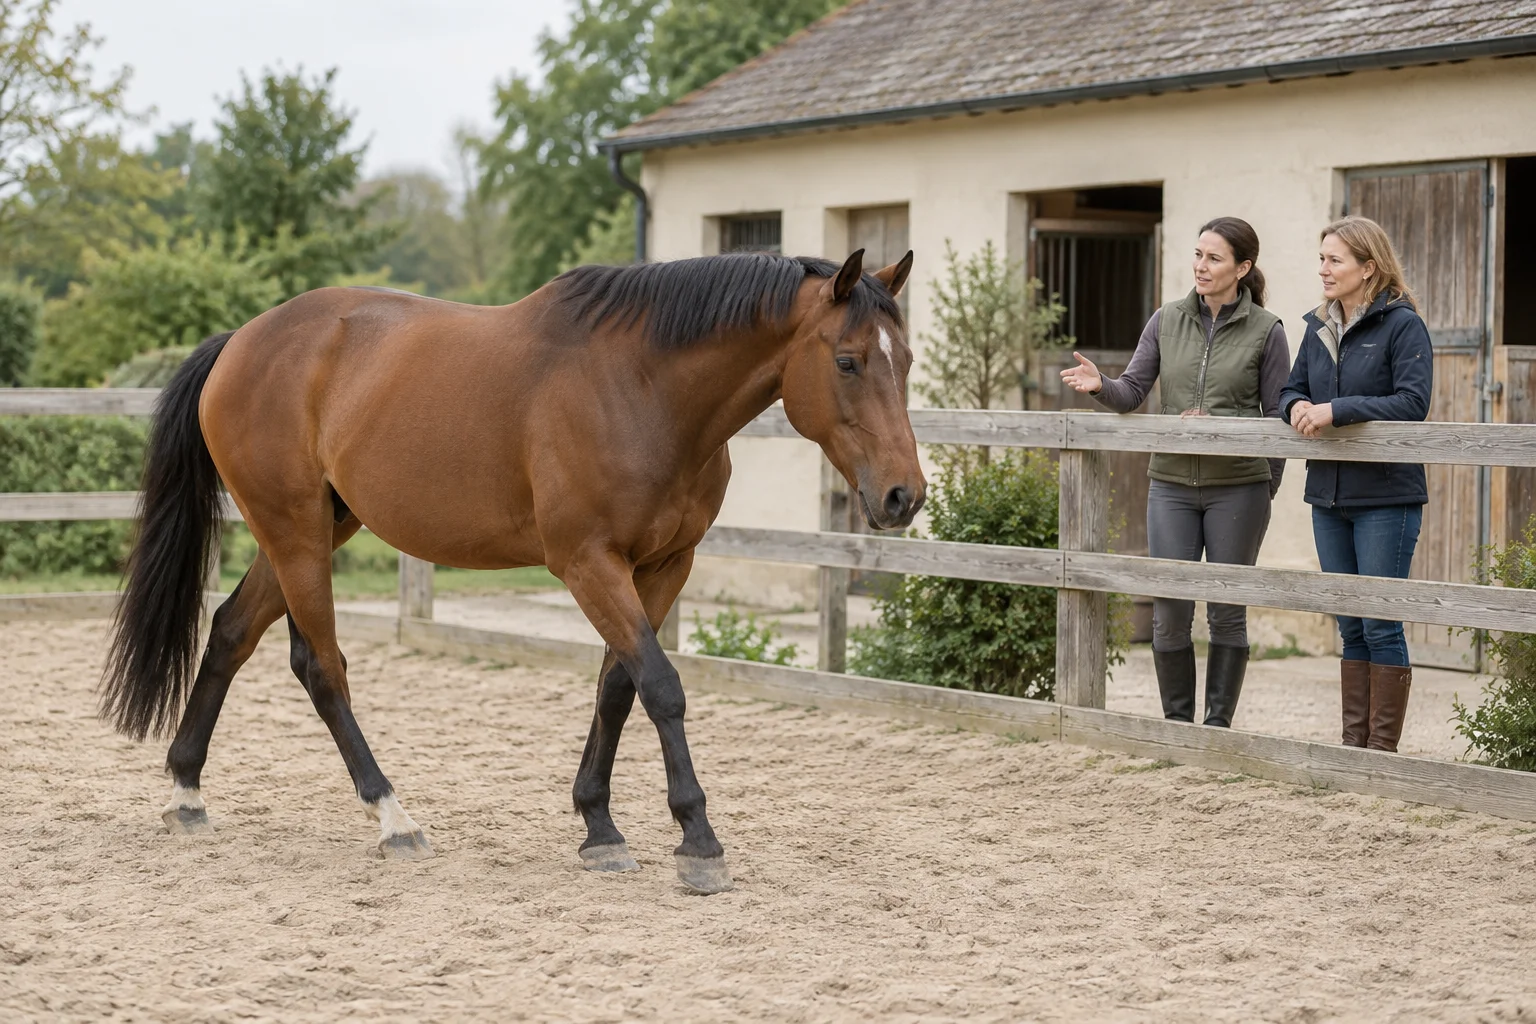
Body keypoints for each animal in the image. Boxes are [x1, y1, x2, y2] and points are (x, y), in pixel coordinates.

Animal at [100, 248, 924, 894]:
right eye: (847, 361)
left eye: (907, 361)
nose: (903, 495)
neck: (643, 389)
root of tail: (242, 340)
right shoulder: (589, 563)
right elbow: (662, 687)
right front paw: (697, 839)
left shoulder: (664, 567)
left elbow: (619, 685)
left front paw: (599, 826)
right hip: (294, 530)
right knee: (321, 665)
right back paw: (393, 818)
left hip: (313, 530)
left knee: (232, 632)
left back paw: (187, 791)